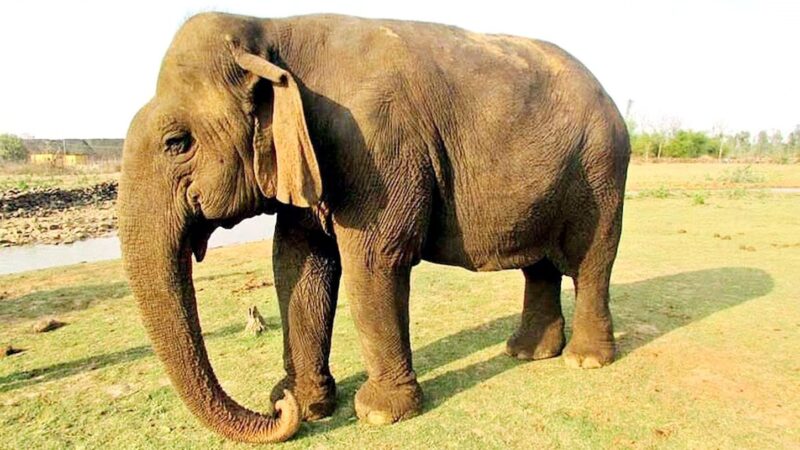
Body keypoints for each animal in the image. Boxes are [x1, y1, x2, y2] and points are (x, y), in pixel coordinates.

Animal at [118, 12, 630, 443]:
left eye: (177, 143)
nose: (276, 405)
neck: (272, 30)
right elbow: (297, 263)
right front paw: (309, 404)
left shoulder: (377, 145)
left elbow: (373, 260)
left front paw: (379, 414)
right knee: (539, 265)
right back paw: (526, 353)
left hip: (602, 169)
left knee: (593, 260)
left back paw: (584, 360)